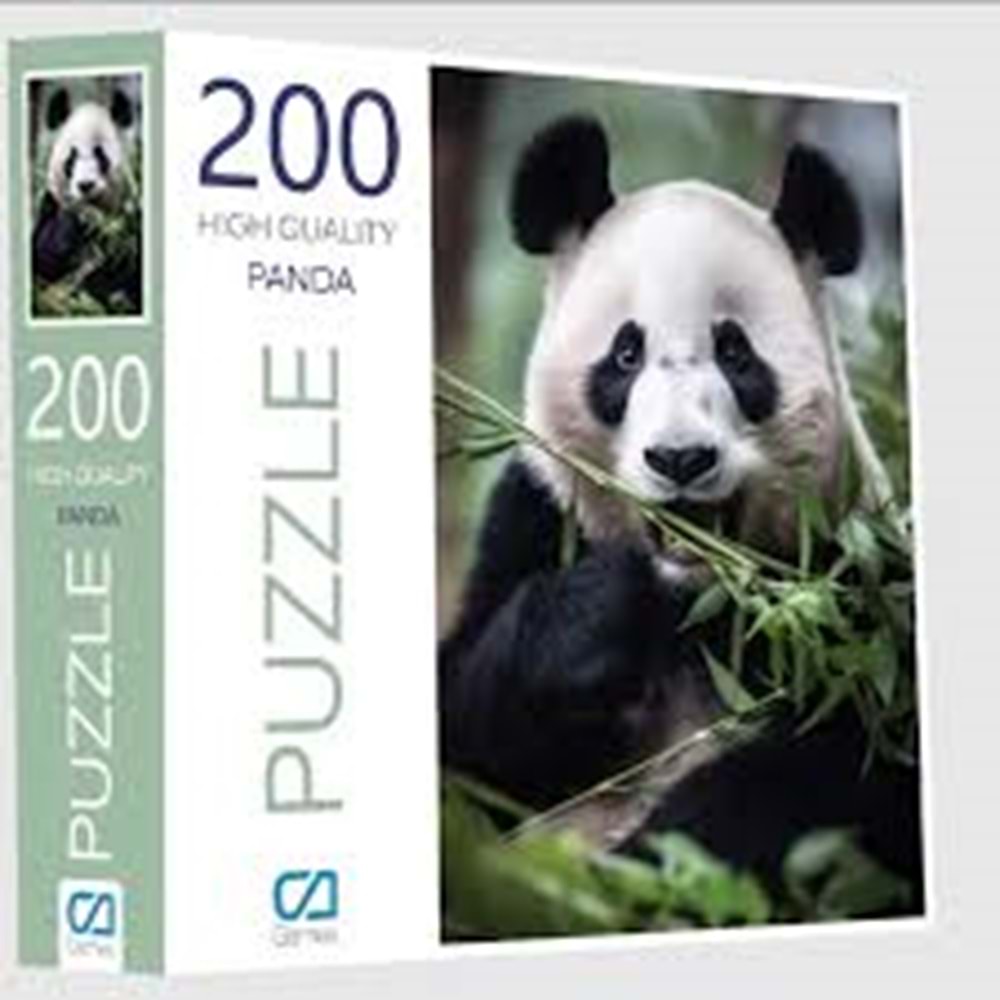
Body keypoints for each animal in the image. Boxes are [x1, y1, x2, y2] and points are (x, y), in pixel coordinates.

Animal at [32, 84, 141, 311]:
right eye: (71, 158)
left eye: (100, 155)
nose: (85, 185)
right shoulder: (50, 204)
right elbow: (42, 259)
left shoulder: (129, 218)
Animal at [439, 116, 923, 909]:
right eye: (625, 355)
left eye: (735, 353)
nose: (681, 459)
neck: (691, 600)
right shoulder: (533, 517)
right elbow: (464, 739)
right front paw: (595, 616)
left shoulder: (856, 581)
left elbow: (850, 774)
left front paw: (658, 864)